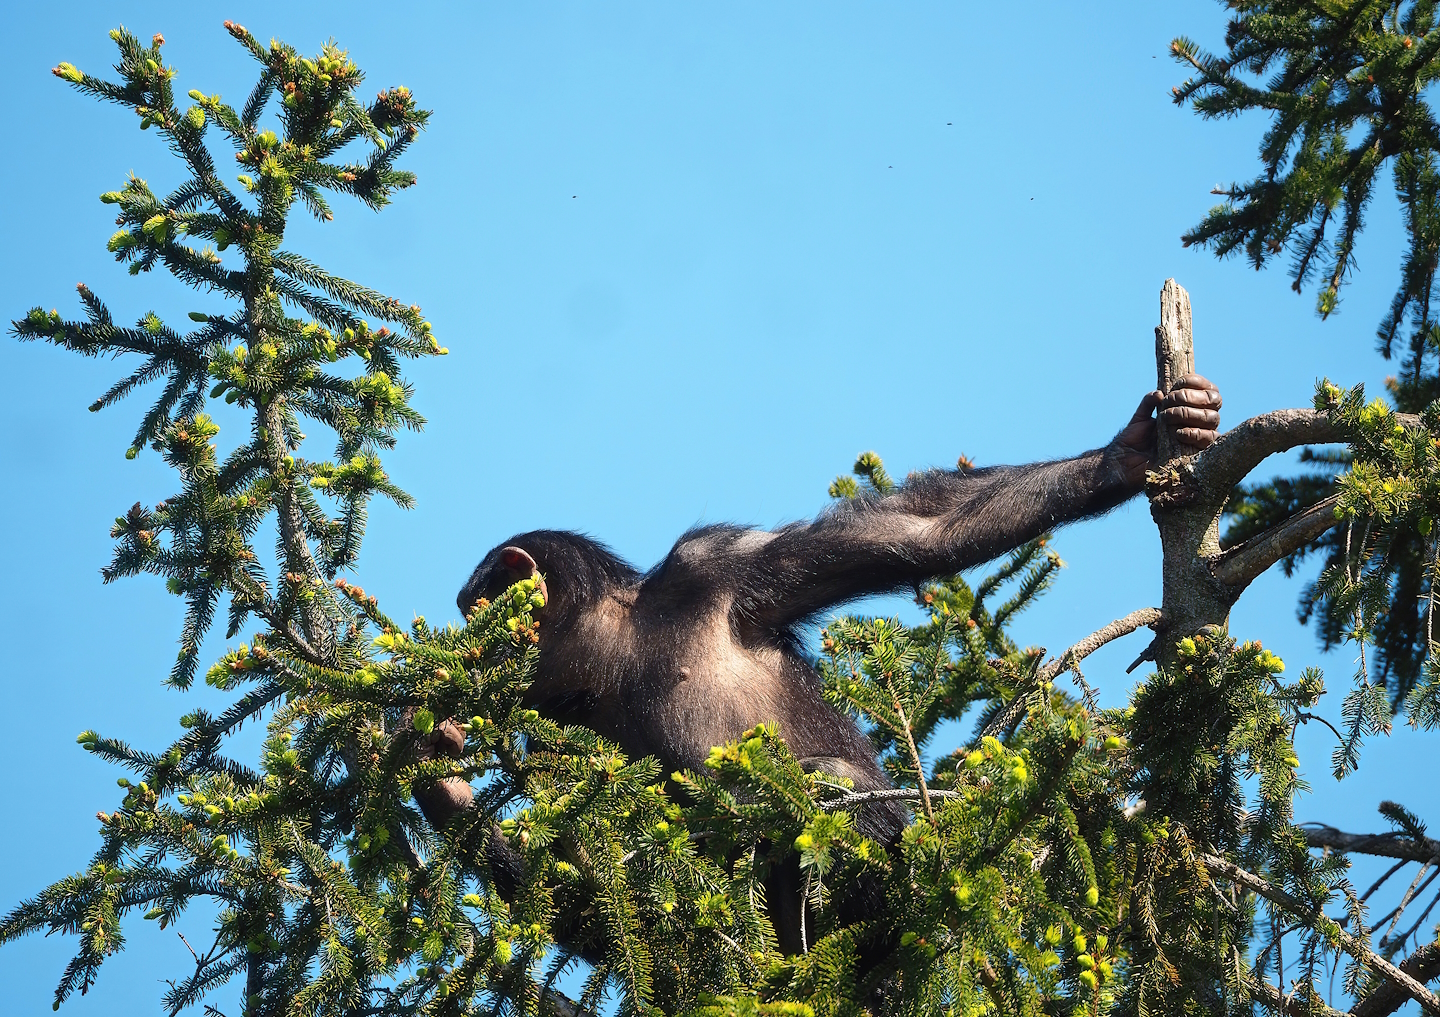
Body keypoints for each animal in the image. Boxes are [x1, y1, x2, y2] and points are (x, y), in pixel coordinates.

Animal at [415, 375, 1221, 954]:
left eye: (473, 607)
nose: (456, 637)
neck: (617, 652)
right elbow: (586, 896)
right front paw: (436, 768)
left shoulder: (719, 567)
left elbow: (920, 532)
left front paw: (1130, 453)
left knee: (825, 783)